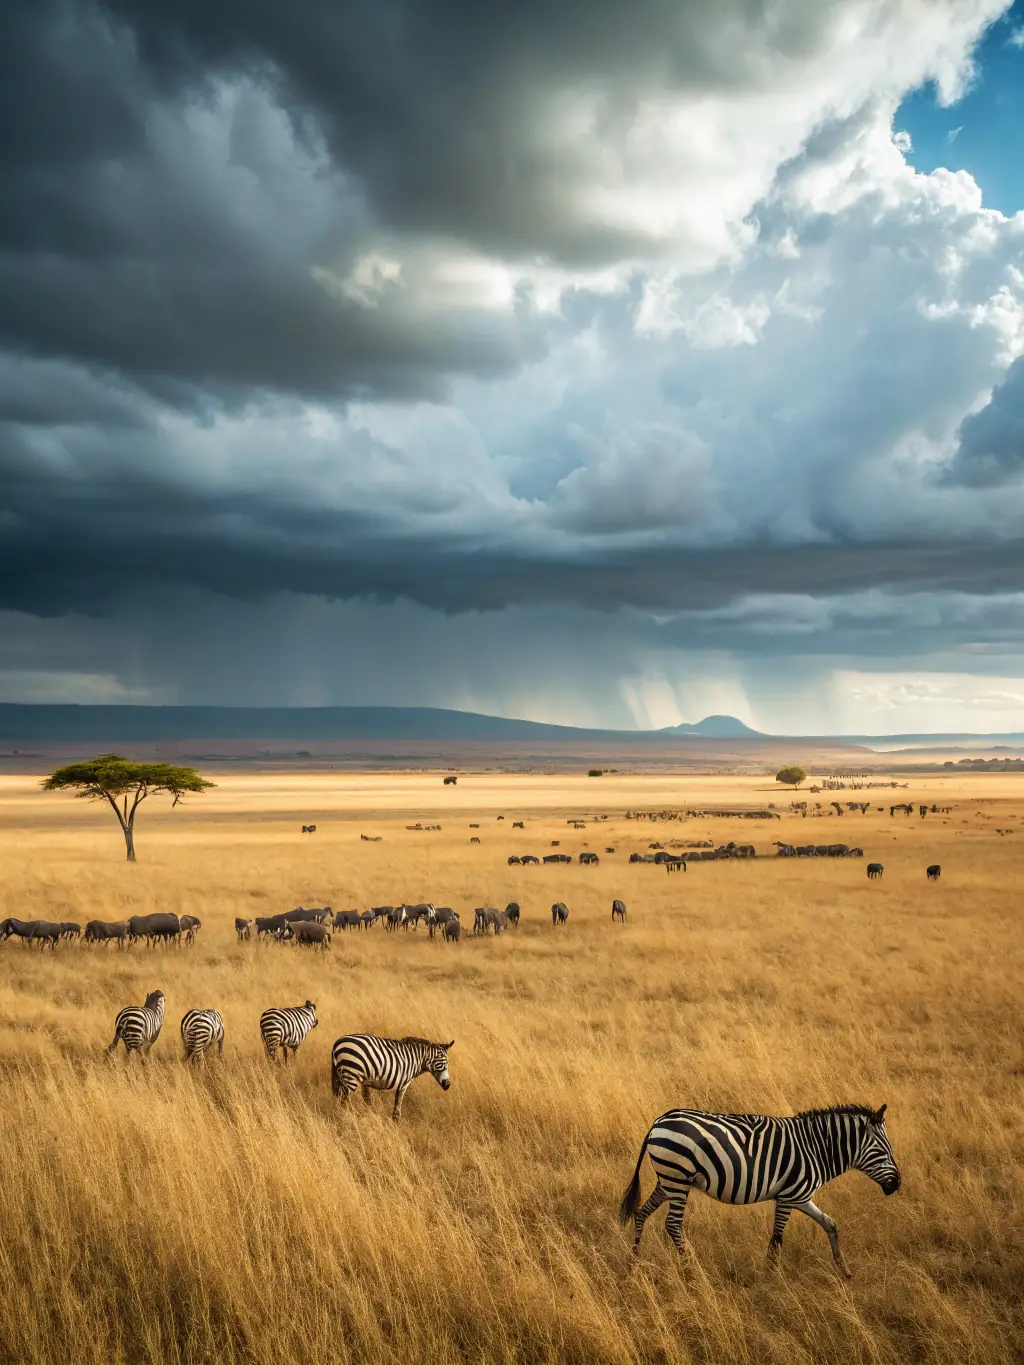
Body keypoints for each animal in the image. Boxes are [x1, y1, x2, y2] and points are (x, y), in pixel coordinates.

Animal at [620, 1104, 900, 1277]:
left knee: (641, 1212)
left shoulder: (801, 1196)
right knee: (673, 1225)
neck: (817, 1149)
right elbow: (777, 1239)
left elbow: (830, 1224)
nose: (897, 1185)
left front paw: (844, 1271)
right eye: (884, 1151)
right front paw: (771, 1277)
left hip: (669, 1180)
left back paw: (634, 1264)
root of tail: (658, 1121)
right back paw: (693, 1271)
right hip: (678, 1178)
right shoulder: (788, 1197)